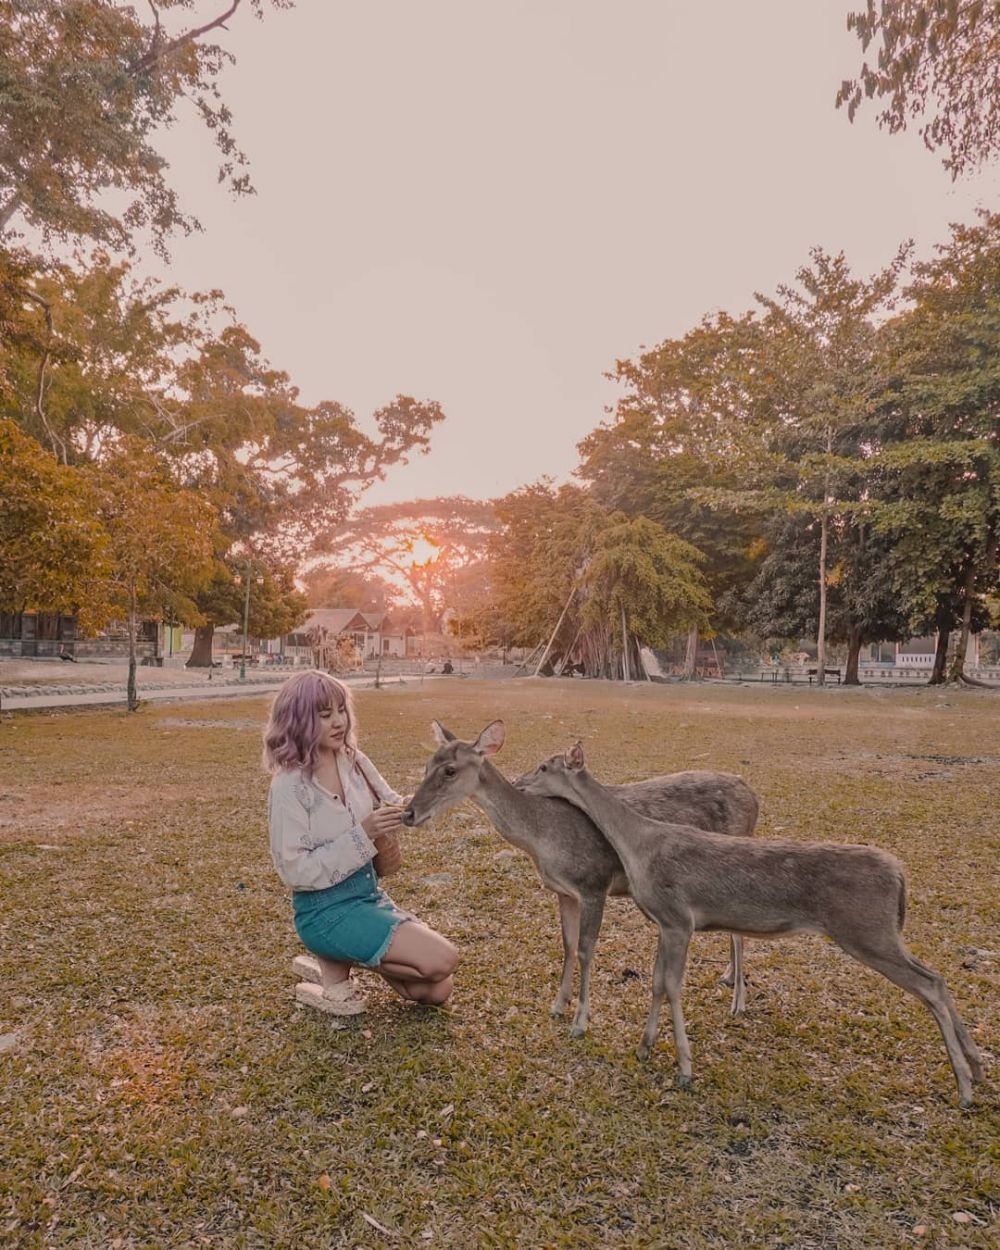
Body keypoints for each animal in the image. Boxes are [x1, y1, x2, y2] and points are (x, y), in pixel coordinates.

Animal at [397, 720, 760, 1040]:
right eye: (427, 764)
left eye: (450, 770)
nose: (408, 813)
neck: (543, 840)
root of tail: (753, 796)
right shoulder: (564, 891)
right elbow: (568, 943)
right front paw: (558, 1005)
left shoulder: (593, 883)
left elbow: (586, 949)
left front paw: (581, 1022)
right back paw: (729, 977)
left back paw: (738, 1003)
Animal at [520, 740, 990, 1105]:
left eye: (545, 765)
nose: (522, 781)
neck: (639, 845)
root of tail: (899, 875)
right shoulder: (663, 922)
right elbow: (656, 982)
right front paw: (645, 1048)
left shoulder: (678, 917)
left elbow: (669, 984)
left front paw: (682, 1068)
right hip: (882, 933)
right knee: (937, 975)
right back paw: (979, 1068)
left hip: (866, 930)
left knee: (929, 984)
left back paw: (965, 1088)